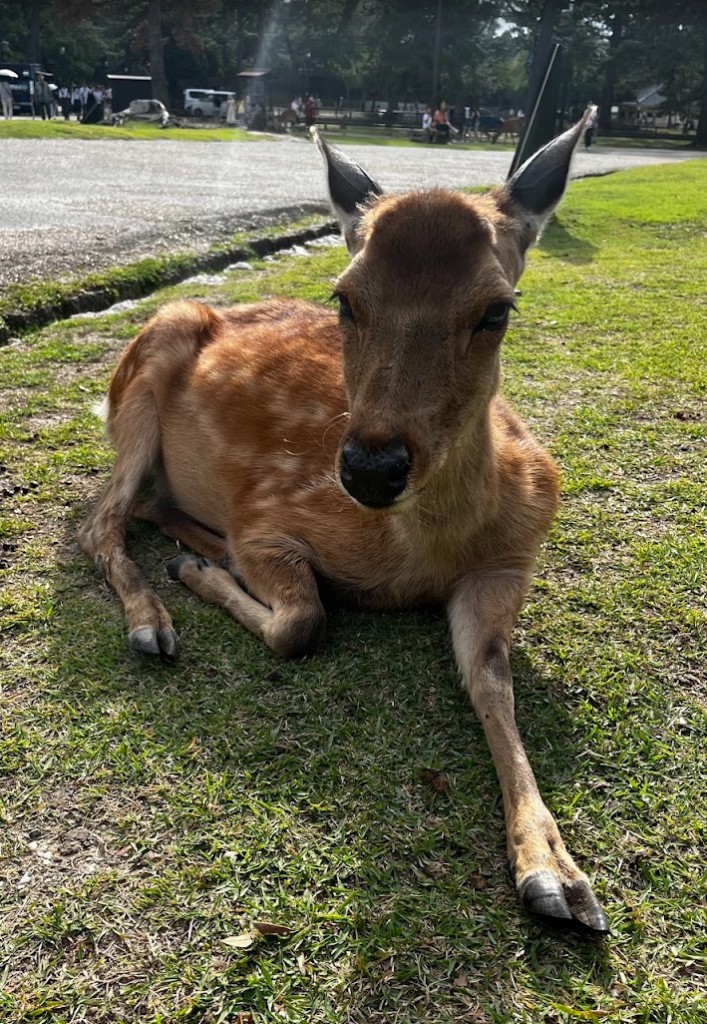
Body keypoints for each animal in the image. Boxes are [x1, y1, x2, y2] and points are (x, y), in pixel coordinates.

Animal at [79, 109, 609, 934]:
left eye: (497, 309)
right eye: (344, 298)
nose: (368, 468)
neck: (419, 555)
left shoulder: (506, 564)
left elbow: (491, 681)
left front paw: (556, 875)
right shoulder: (268, 513)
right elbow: (303, 621)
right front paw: (207, 577)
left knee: (140, 507)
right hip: (137, 382)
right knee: (100, 520)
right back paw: (156, 617)